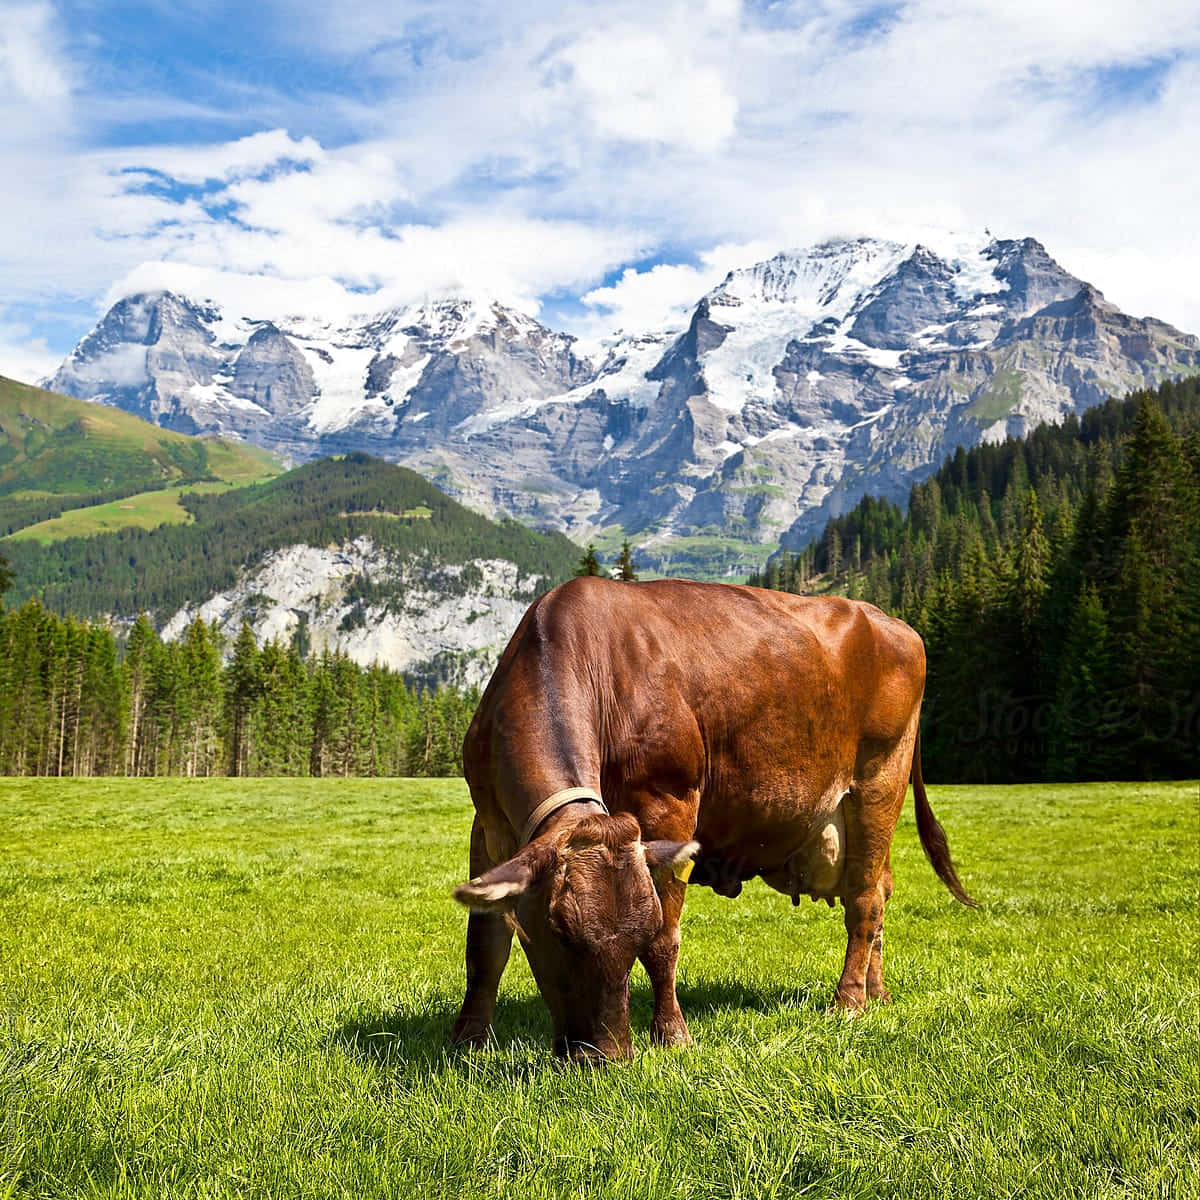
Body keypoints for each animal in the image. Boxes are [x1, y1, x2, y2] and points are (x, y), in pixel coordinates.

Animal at [451, 578, 974, 1060]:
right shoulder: (490, 825)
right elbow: (484, 943)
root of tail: (894, 623)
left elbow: (665, 937)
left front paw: (671, 1035)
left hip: (878, 782)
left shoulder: (669, 804)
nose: (609, 1056)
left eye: (637, 933)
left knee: (864, 901)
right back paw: (877, 991)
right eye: (559, 933)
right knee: (881, 890)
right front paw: (468, 1041)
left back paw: (849, 1002)